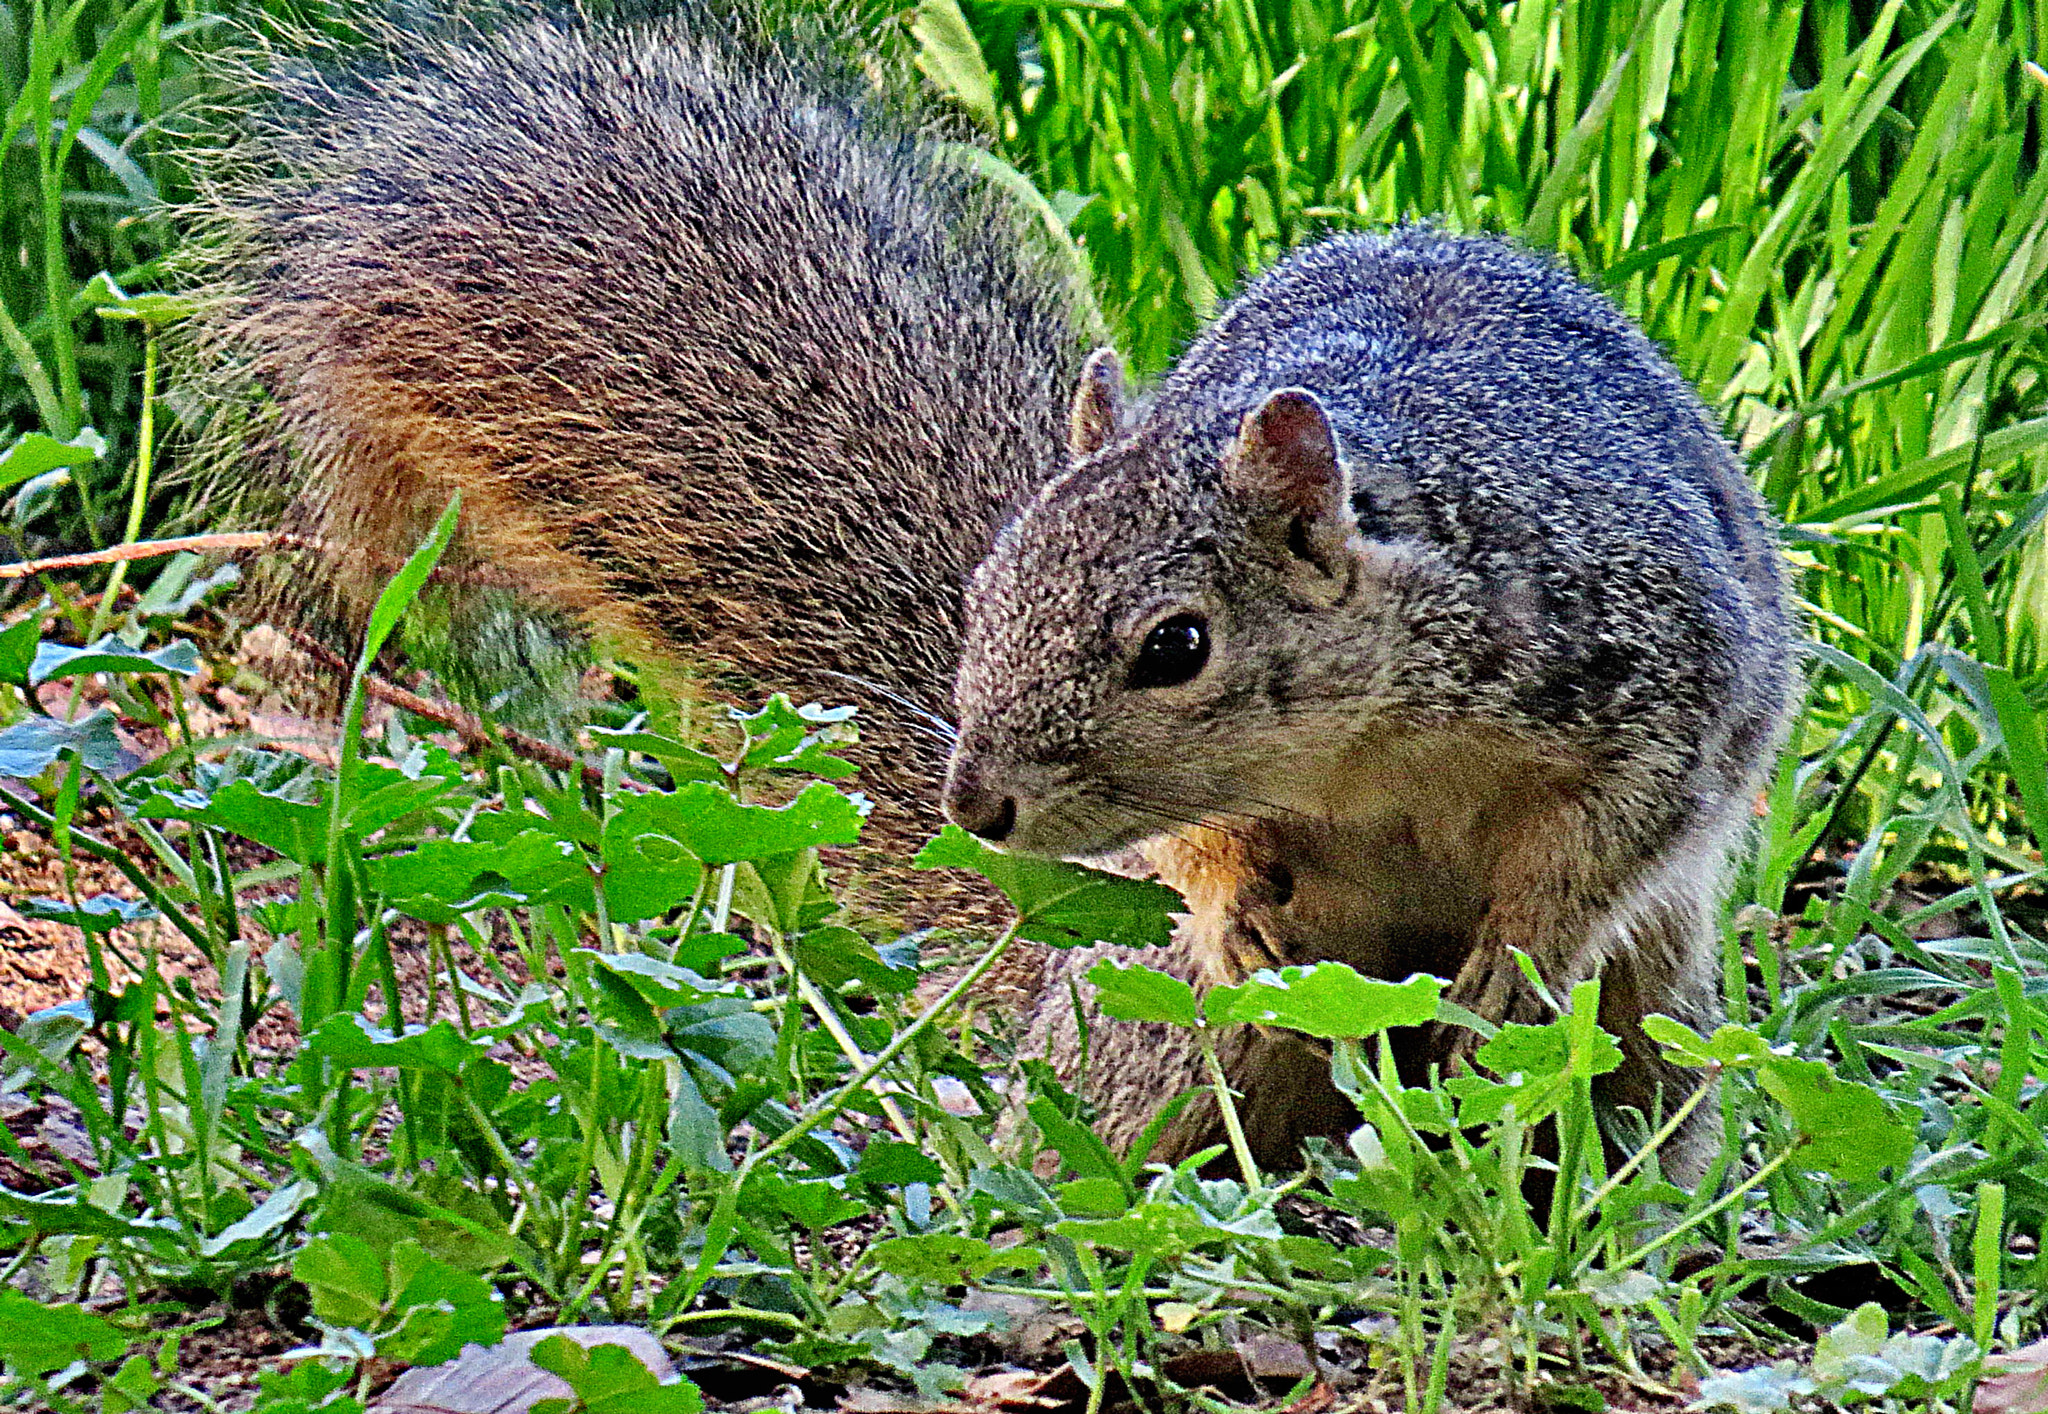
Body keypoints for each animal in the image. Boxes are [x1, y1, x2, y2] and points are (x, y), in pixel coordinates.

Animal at [950, 228, 1802, 1163]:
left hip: (1644, 1017)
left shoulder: (1658, 681)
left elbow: (1602, 846)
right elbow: (1188, 849)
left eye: (1177, 647)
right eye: (983, 592)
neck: (1354, 749)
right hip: (1158, 1018)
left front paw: (1514, 960)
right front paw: (1231, 917)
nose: (974, 807)